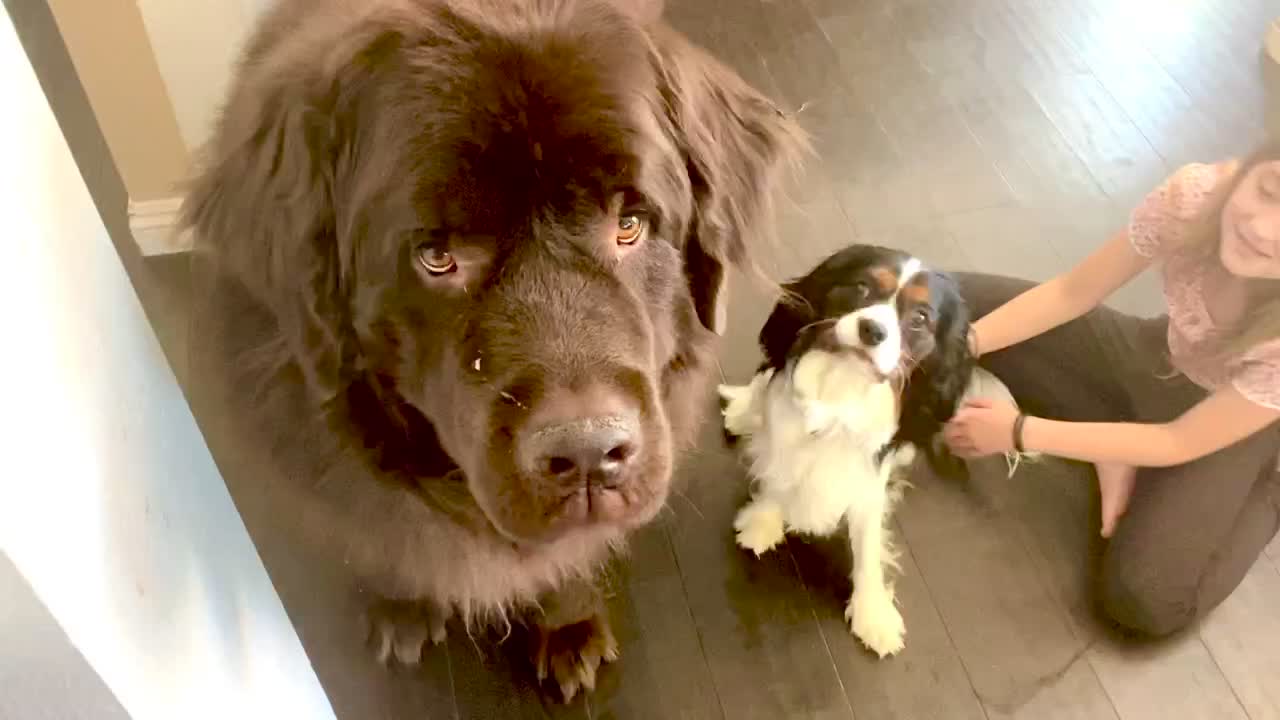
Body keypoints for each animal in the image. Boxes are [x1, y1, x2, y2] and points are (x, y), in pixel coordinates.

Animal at [183, 0, 798, 702]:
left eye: (629, 225)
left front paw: (567, 622)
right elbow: (382, 536)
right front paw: (403, 606)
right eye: (437, 256)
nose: (587, 452)